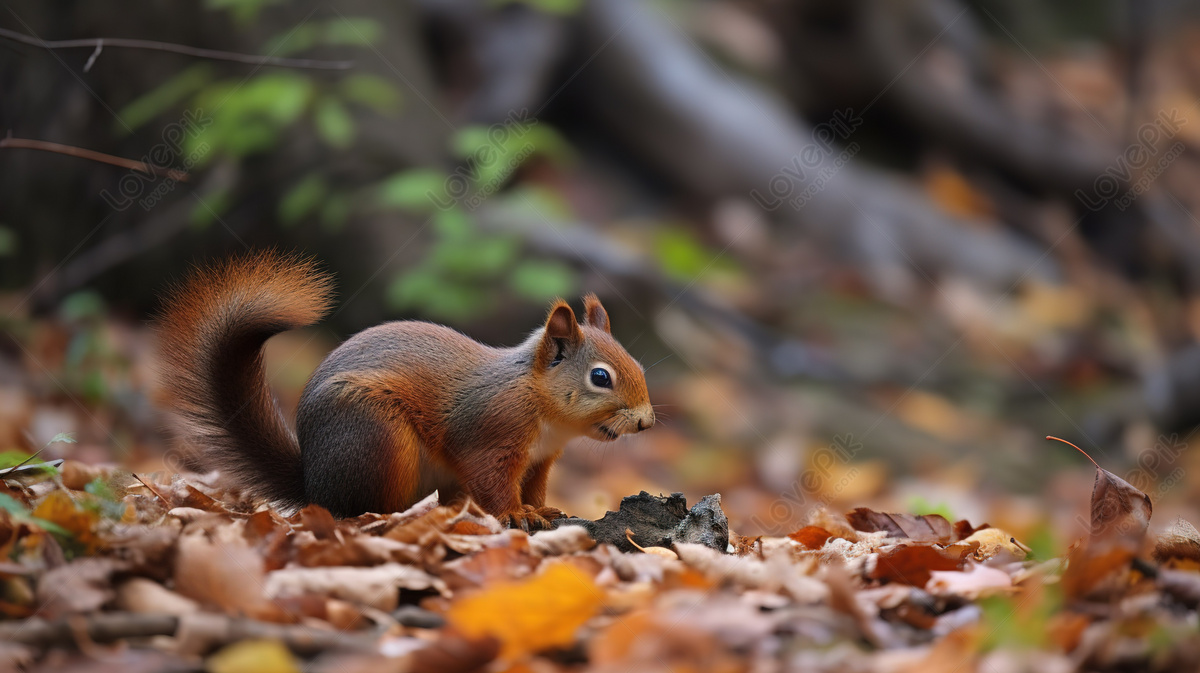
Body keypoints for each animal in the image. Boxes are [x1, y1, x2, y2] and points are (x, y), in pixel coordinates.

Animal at [154, 249, 657, 527]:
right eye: (600, 377)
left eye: (638, 366)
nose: (647, 421)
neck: (539, 404)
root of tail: (313, 482)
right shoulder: (491, 436)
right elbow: (493, 483)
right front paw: (515, 514)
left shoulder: (539, 461)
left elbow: (533, 488)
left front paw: (543, 510)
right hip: (378, 438)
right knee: (360, 509)